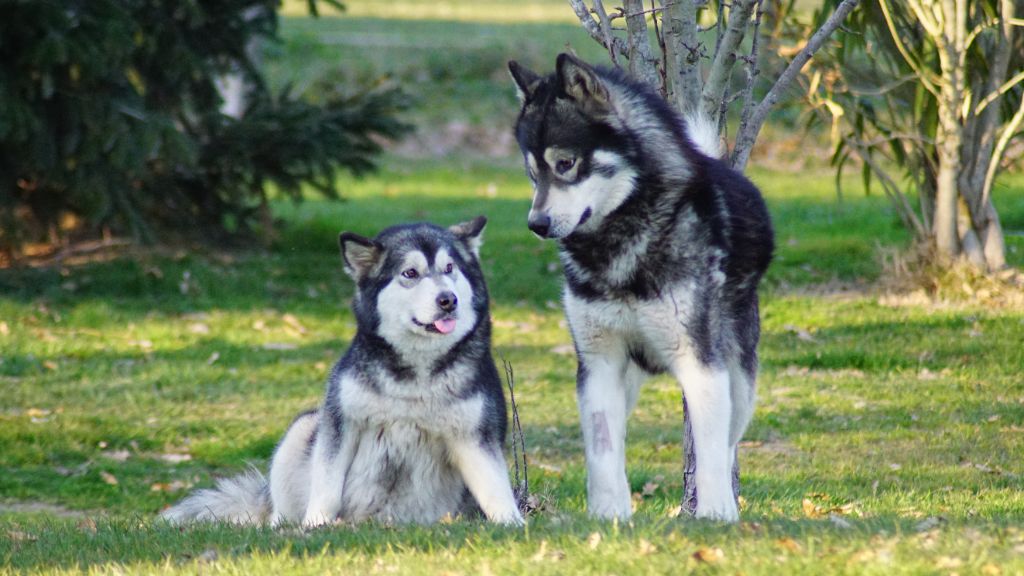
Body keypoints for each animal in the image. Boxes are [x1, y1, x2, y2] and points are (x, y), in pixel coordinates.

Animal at [165, 217, 528, 528]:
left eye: (449, 268)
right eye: (410, 273)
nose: (448, 300)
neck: (415, 373)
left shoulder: (475, 436)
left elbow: (495, 489)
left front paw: (513, 525)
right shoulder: (340, 425)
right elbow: (326, 486)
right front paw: (315, 525)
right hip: (304, 426)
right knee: (281, 508)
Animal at [507, 53, 770, 520]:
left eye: (566, 164)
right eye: (532, 173)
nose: (536, 224)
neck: (620, 246)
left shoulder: (701, 363)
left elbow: (710, 451)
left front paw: (715, 515)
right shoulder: (599, 364)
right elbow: (602, 451)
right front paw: (608, 516)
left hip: (738, 381)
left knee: (727, 445)